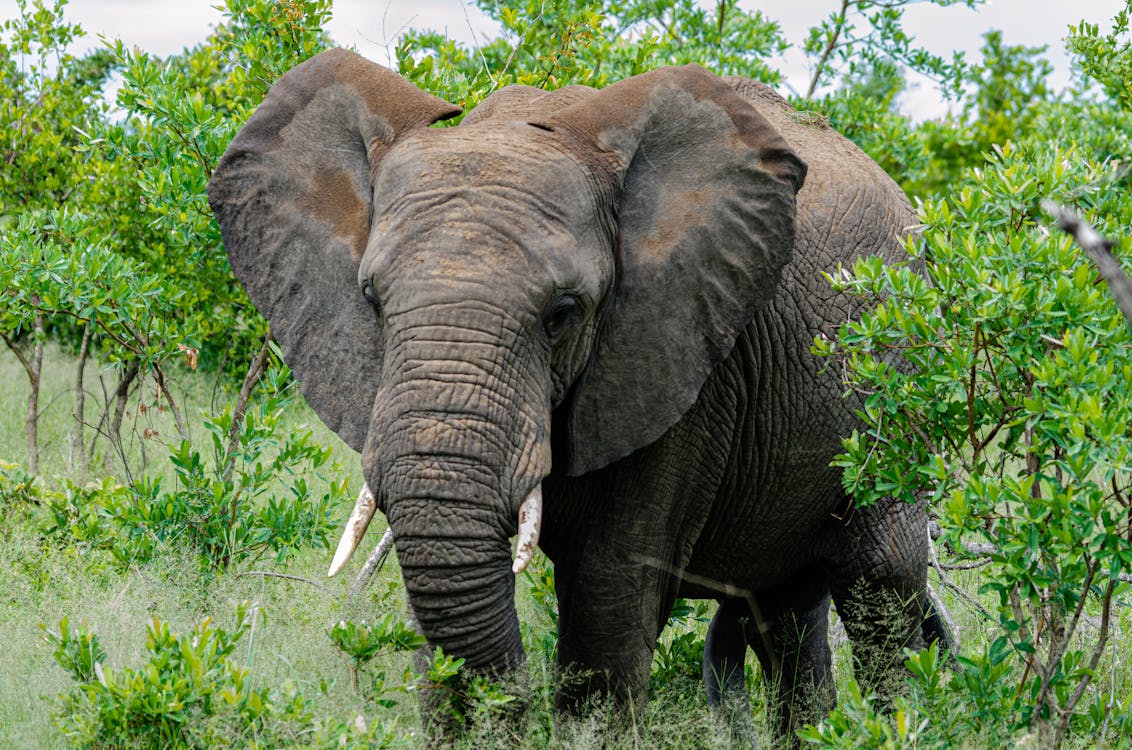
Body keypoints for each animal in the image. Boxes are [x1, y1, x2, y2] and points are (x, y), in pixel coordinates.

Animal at [208, 49, 941, 742]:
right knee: (783, 613)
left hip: (898, 388)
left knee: (883, 595)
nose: (514, 705)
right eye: (371, 302)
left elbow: (607, 605)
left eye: (563, 313)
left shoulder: (677, 358)